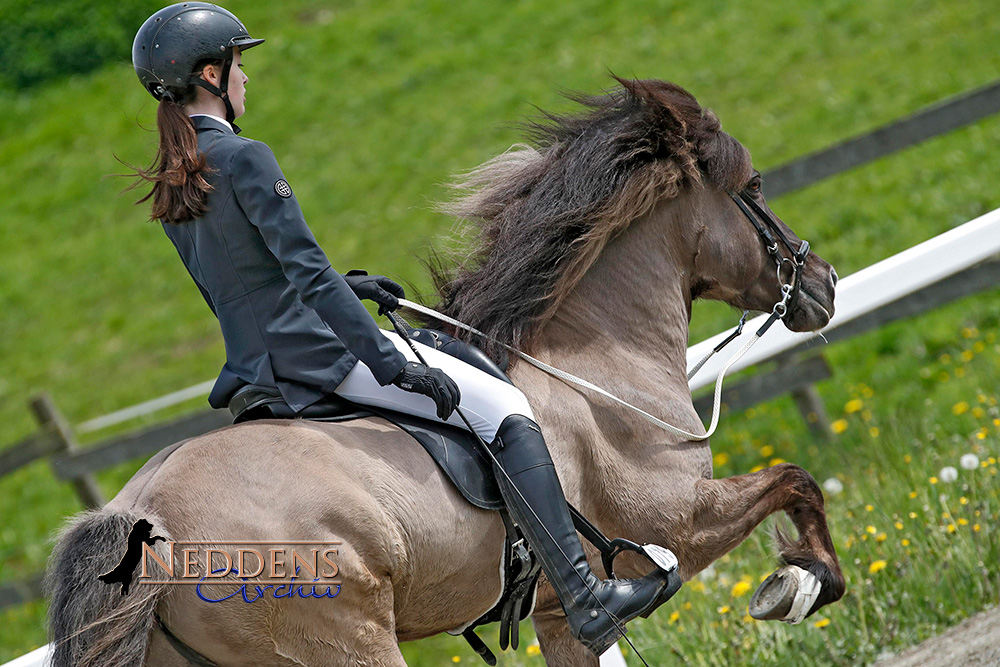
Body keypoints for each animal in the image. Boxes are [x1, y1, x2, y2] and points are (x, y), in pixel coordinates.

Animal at [47, 77, 844, 664]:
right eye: (756, 185)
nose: (825, 283)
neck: (597, 362)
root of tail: (143, 516)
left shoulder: (560, 619)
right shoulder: (678, 522)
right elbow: (796, 478)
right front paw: (803, 582)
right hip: (345, 644)